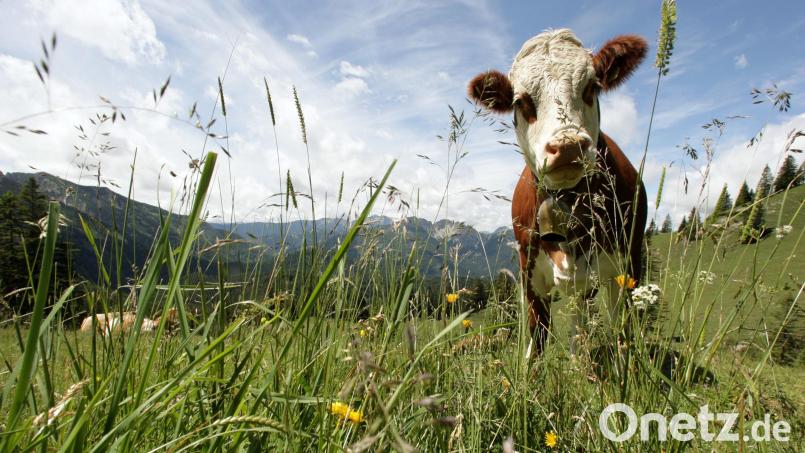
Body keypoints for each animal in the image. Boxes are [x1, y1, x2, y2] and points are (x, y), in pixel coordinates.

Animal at [467, 29, 648, 356]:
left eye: (591, 86)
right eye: (521, 101)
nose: (567, 146)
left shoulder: (625, 267)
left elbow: (622, 329)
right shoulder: (528, 274)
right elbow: (537, 337)